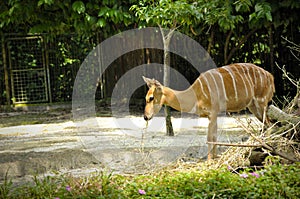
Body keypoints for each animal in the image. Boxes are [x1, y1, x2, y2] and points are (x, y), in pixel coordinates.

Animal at [142, 63, 274, 159]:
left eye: (151, 98)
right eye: (146, 97)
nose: (145, 117)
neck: (196, 95)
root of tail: (270, 76)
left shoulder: (213, 113)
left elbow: (210, 138)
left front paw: (209, 160)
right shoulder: (214, 115)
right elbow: (214, 137)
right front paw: (215, 157)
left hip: (261, 102)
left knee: (268, 124)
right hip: (252, 106)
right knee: (267, 124)